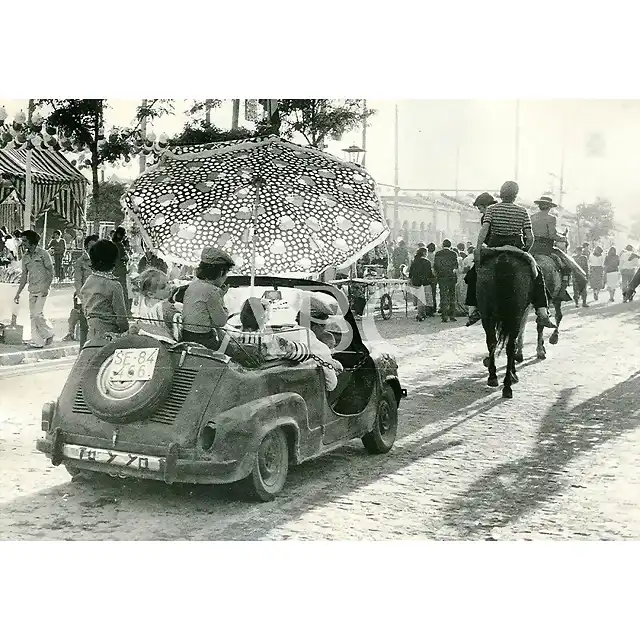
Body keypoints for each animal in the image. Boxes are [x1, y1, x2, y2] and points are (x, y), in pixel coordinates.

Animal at [478, 251, 532, 398]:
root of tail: (503, 260)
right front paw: (513, 372)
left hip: (486, 313)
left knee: (492, 341)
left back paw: (493, 377)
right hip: (515, 314)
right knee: (509, 345)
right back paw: (508, 384)